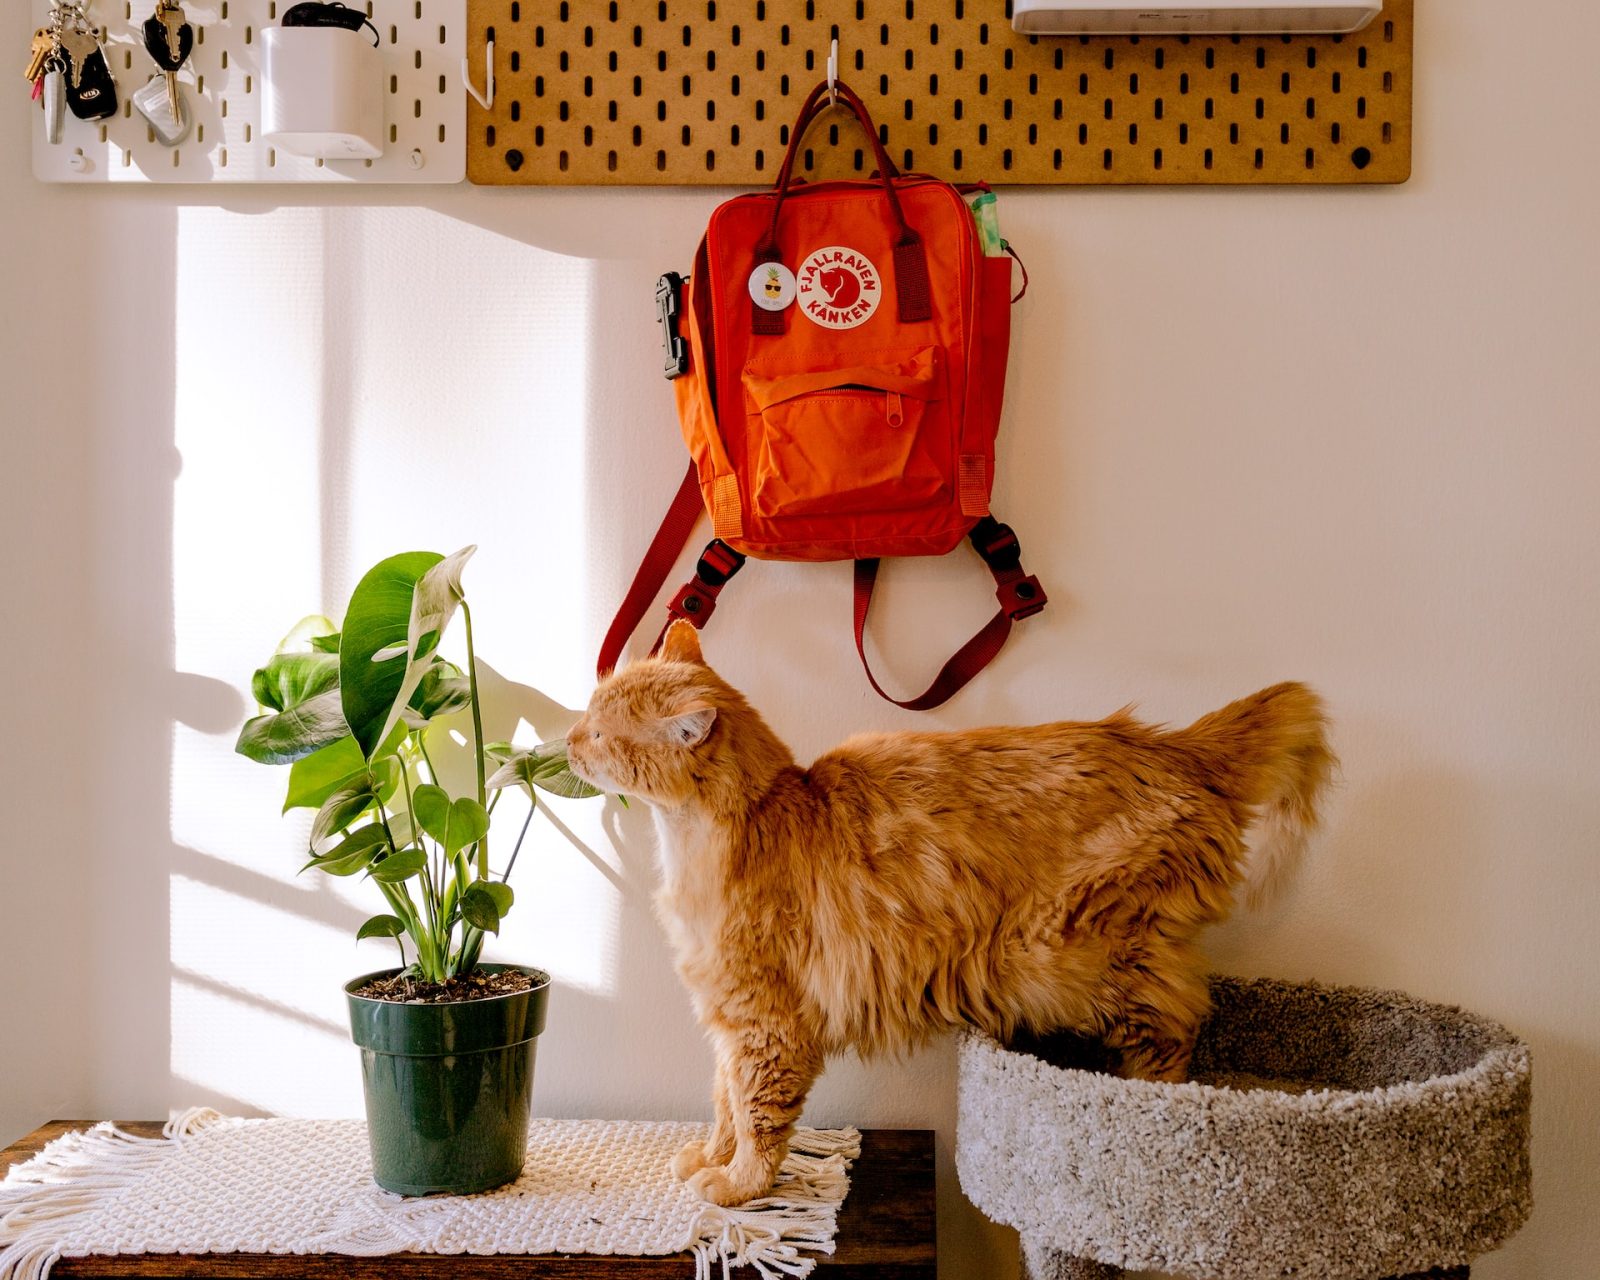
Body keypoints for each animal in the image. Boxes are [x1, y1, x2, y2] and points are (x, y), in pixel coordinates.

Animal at [569, 624, 1331, 1203]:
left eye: (601, 734)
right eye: (587, 716)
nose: (570, 742)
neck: (718, 834)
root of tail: (1174, 745)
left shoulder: (767, 1023)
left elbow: (759, 1117)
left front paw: (739, 1186)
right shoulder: (729, 1020)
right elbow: (724, 1102)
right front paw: (710, 1158)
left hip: (1099, 957)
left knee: (1178, 1030)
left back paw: (1147, 1108)